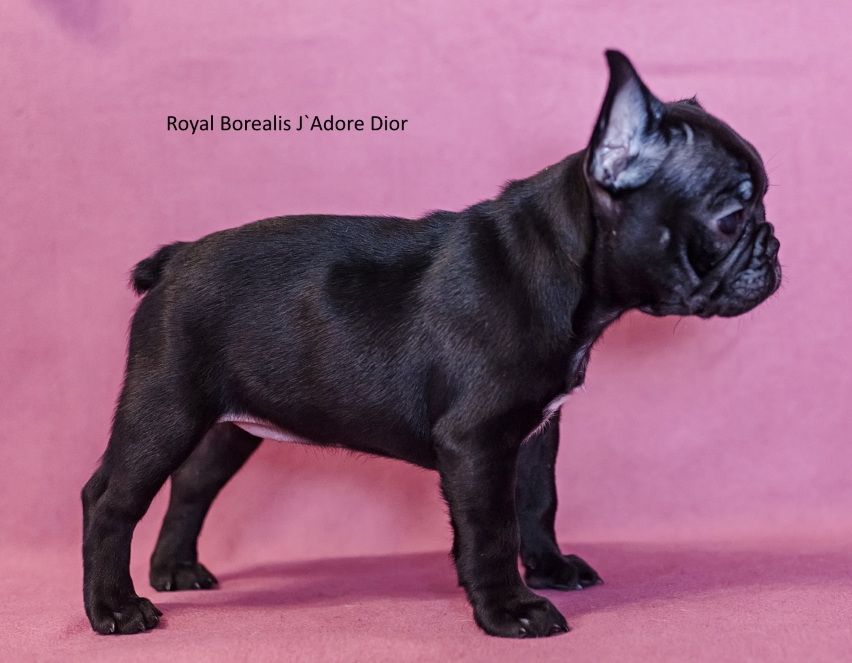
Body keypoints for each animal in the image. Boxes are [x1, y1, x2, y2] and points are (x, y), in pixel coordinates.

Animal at [82, 50, 781, 638]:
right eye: (730, 217)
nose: (773, 245)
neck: (562, 264)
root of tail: (173, 260)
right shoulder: (477, 442)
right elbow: (492, 529)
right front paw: (510, 610)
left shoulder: (535, 433)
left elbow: (538, 503)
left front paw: (550, 570)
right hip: (167, 406)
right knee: (112, 499)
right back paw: (115, 608)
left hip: (229, 424)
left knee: (191, 483)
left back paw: (174, 571)